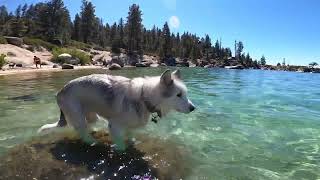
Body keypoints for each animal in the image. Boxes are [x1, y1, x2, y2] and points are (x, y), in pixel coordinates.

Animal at [39, 69, 196, 150]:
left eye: (185, 94)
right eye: (178, 95)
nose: (193, 108)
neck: (143, 97)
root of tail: (60, 91)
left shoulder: (130, 125)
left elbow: (130, 136)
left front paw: (132, 143)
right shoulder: (114, 125)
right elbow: (121, 146)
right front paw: (120, 149)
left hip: (92, 115)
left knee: (88, 125)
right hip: (77, 115)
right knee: (82, 131)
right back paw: (92, 141)